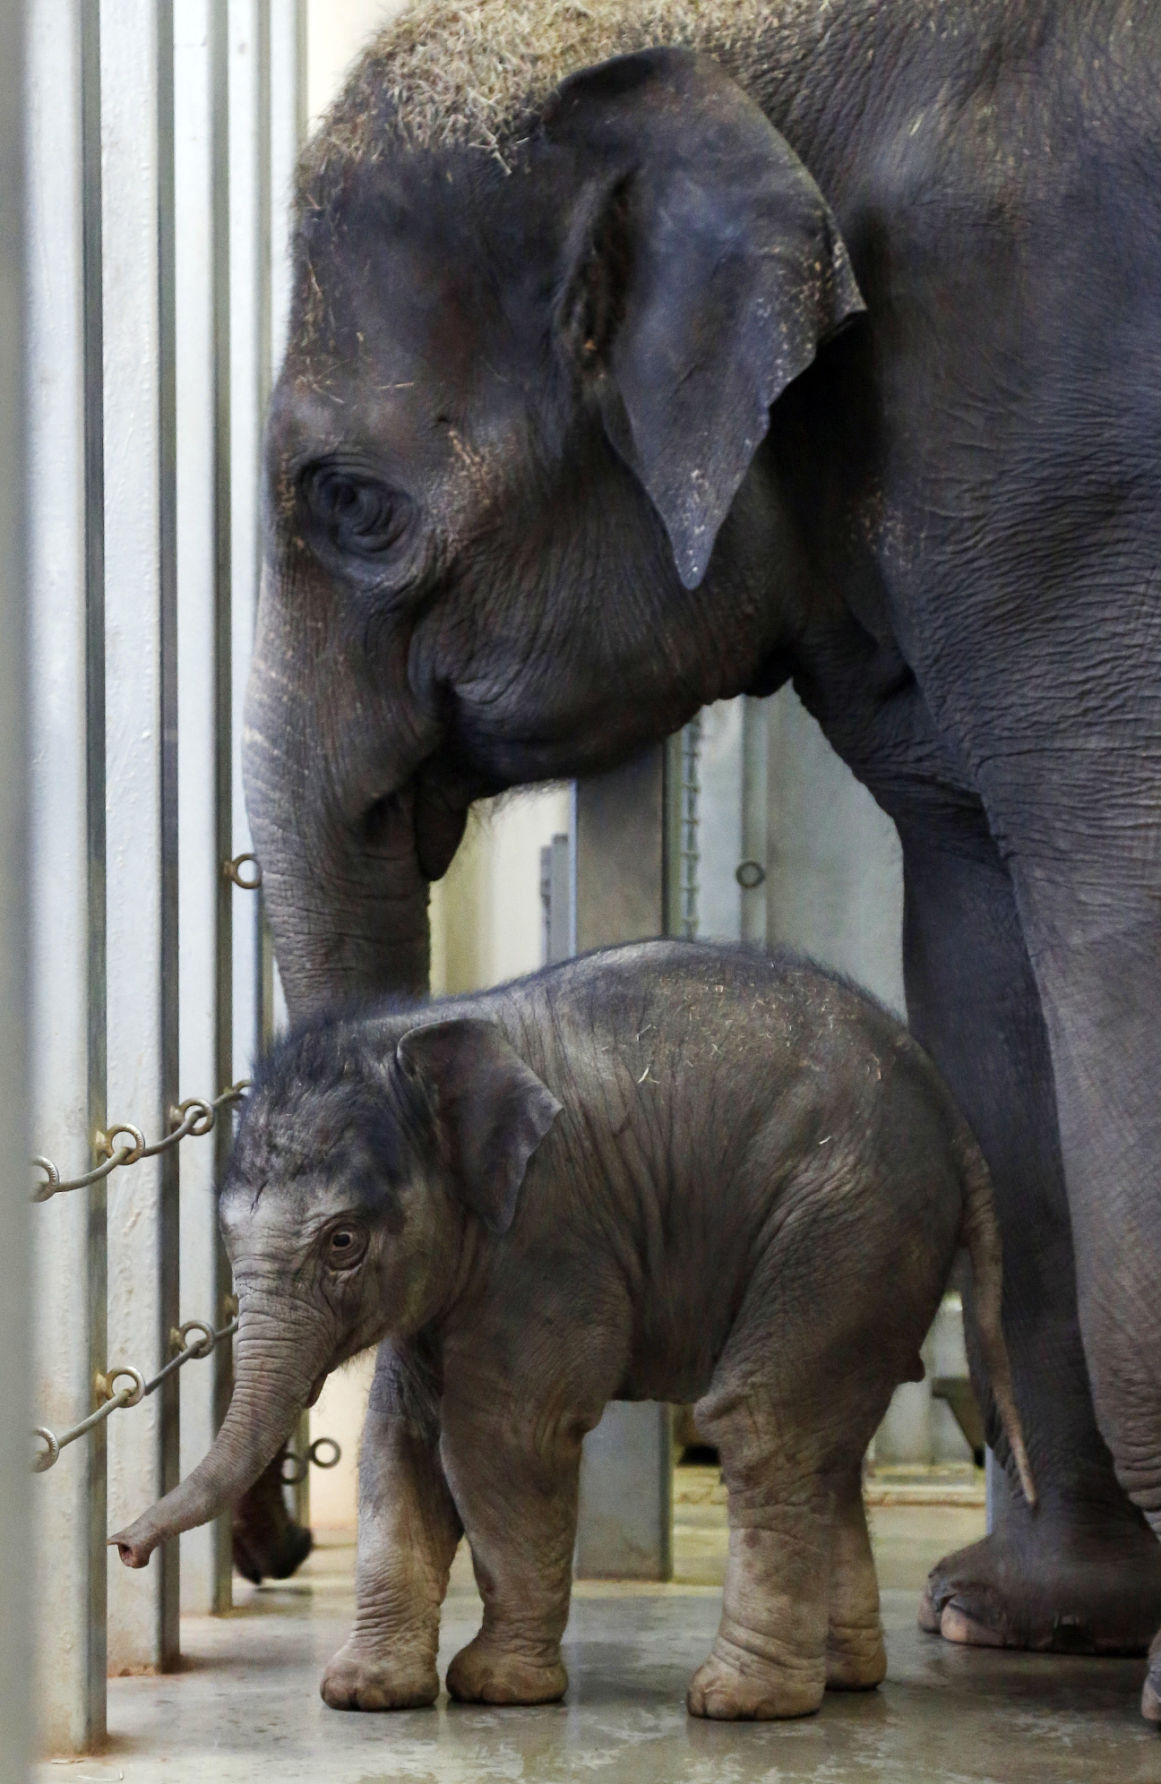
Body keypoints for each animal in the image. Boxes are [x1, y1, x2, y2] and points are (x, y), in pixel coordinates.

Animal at [110, 941, 1033, 1719]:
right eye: (225, 1237)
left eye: (342, 1242)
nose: (122, 1546)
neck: (425, 1030)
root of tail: (949, 1110)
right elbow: (398, 1437)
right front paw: (364, 1693)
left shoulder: (546, 1234)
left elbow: (502, 1436)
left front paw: (494, 1689)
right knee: (826, 1445)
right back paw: (842, 1680)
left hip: (848, 1220)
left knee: (766, 1420)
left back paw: (741, 1703)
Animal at [241, 0, 1161, 1720]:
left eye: (351, 503)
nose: (273, 1547)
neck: (735, 45)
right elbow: (988, 951)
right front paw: (1028, 1620)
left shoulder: (1063, 443)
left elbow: (1114, 919)